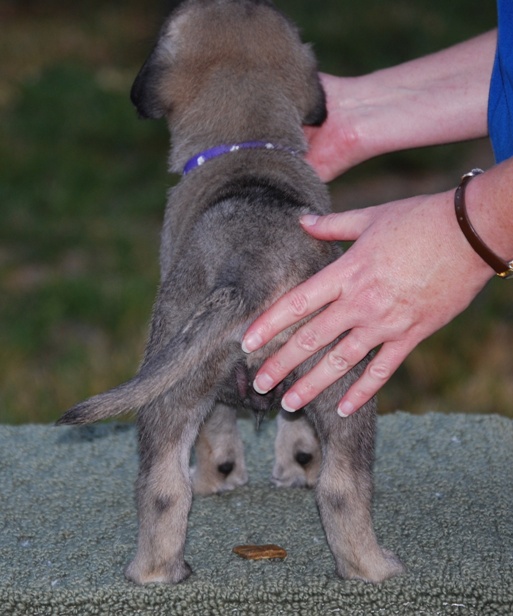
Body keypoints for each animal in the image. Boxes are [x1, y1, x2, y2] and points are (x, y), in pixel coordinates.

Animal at [58, 0, 404, 585]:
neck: (248, 148)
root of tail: (249, 269)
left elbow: (219, 433)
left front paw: (224, 474)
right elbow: (293, 425)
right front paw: (296, 465)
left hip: (175, 380)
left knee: (165, 485)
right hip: (341, 387)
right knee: (340, 487)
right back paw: (371, 568)